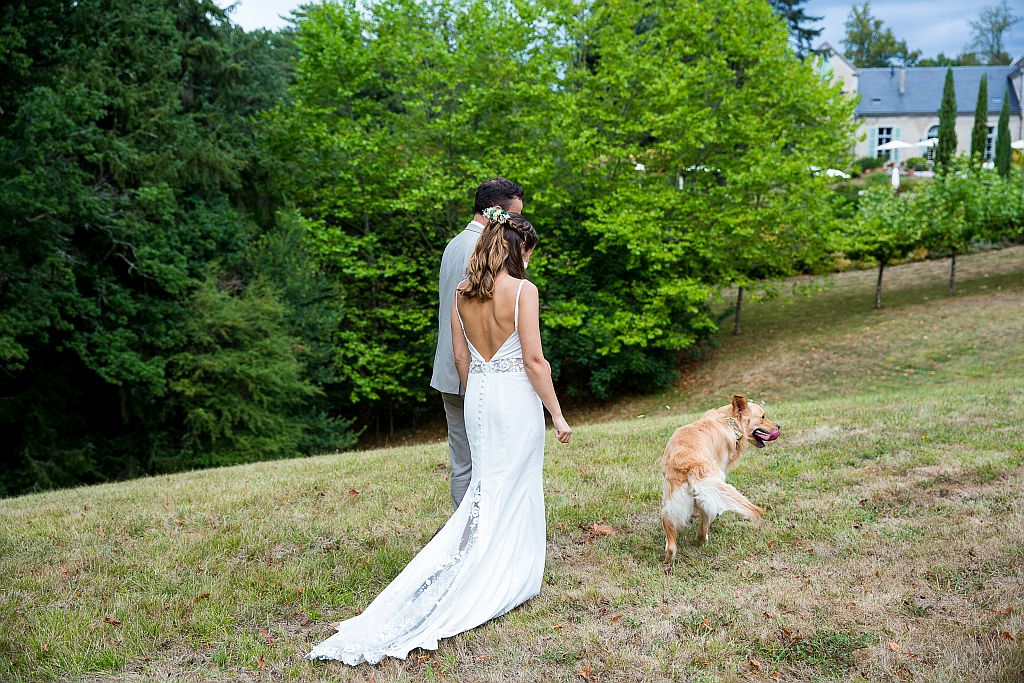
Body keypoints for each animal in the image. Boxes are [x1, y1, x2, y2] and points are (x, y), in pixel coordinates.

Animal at [659, 393, 778, 569]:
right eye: (763, 417)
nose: (779, 426)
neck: (729, 421)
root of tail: (690, 465)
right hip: (710, 495)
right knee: (703, 528)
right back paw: (703, 539)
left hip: (670, 504)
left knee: (671, 539)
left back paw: (669, 559)